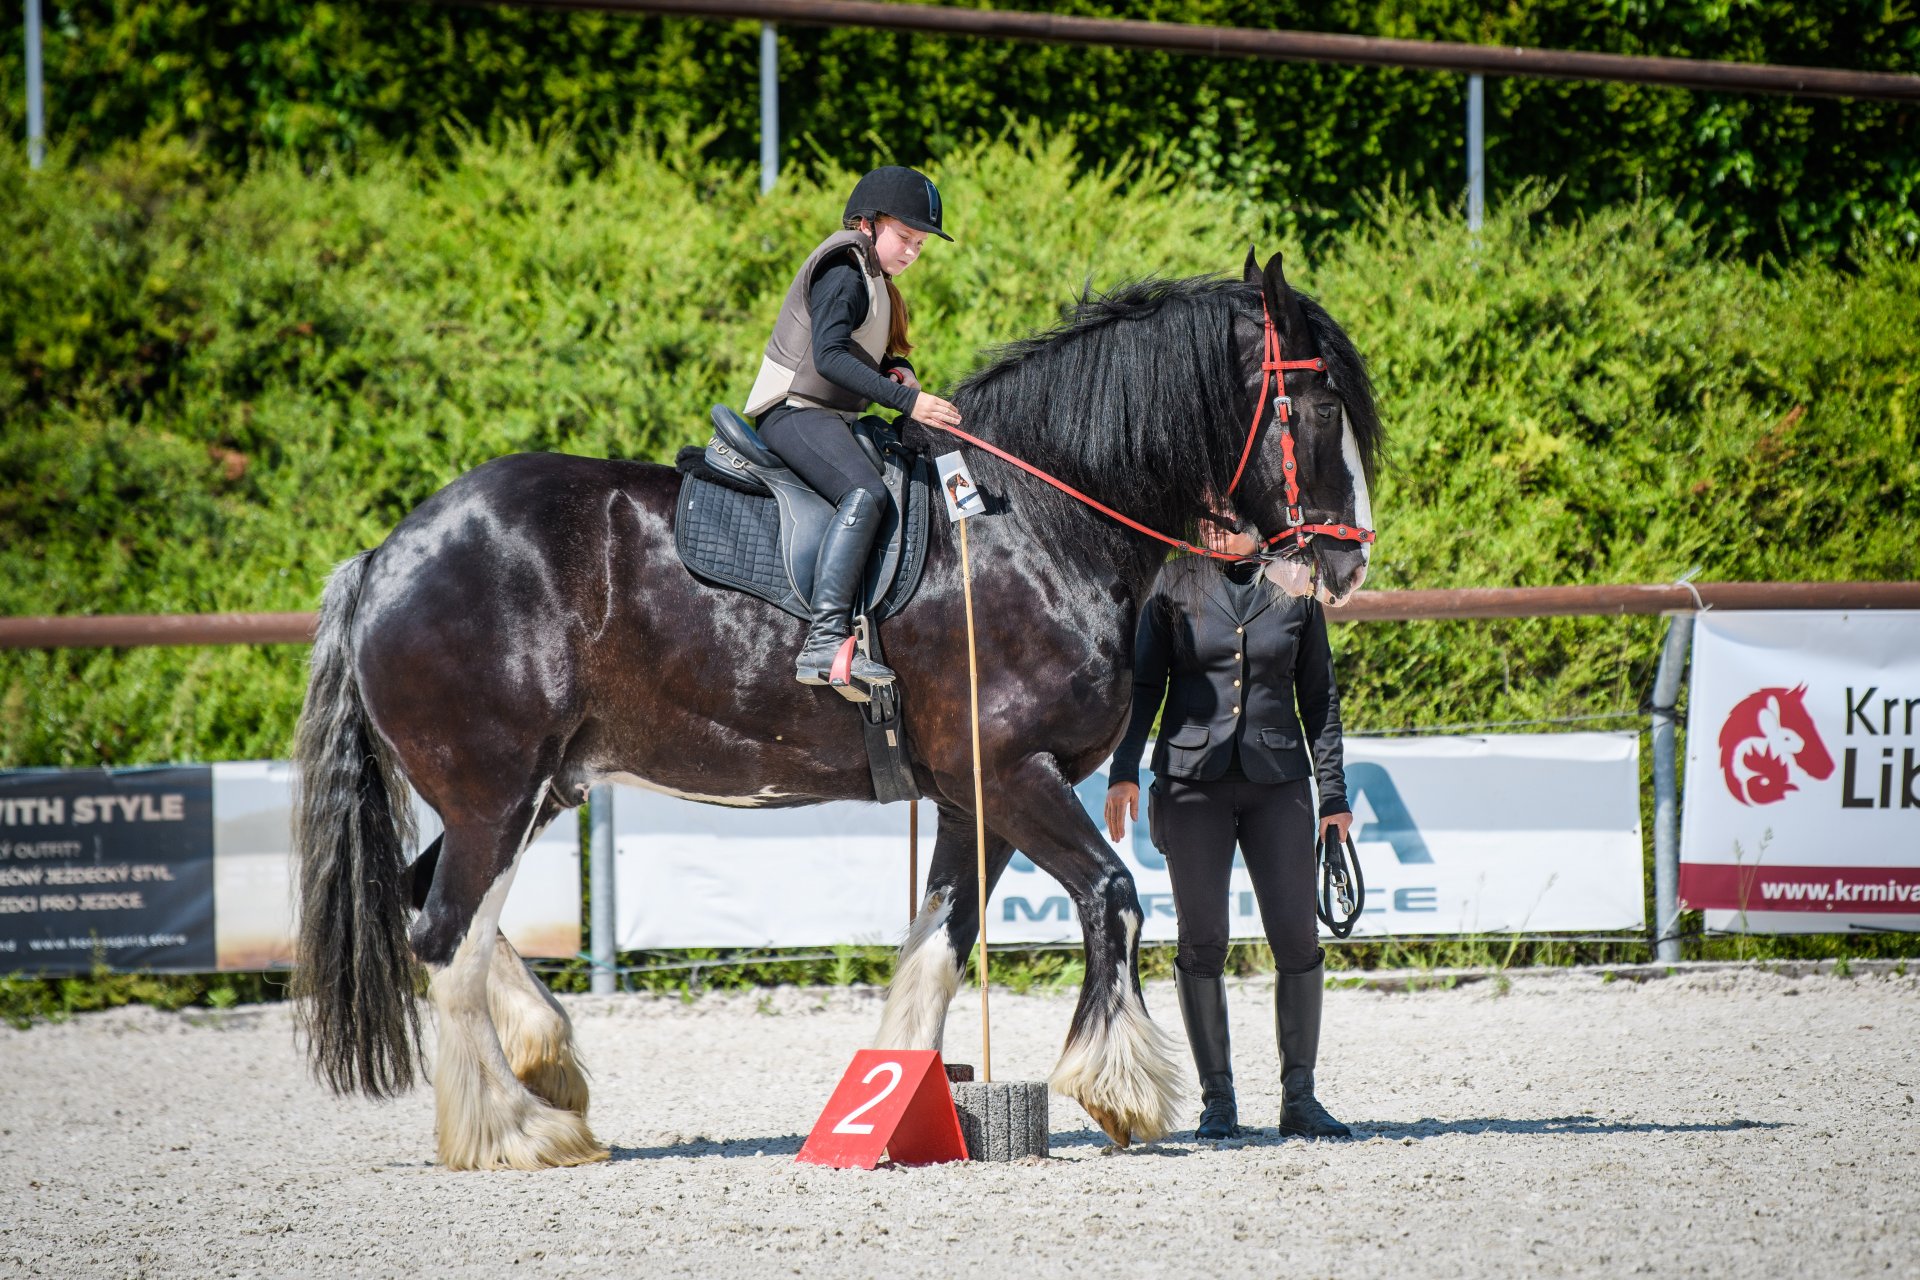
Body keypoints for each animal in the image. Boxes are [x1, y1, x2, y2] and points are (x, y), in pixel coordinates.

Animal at [291, 249, 1382, 1174]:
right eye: (1317, 400)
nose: (1347, 563)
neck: (1034, 522)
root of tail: (384, 558)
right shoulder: (1014, 774)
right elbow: (1112, 895)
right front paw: (1117, 1085)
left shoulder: (973, 796)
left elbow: (941, 941)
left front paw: (896, 1098)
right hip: (496, 793)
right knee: (448, 938)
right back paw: (512, 1128)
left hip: (532, 789)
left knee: (433, 906)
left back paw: (545, 1059)